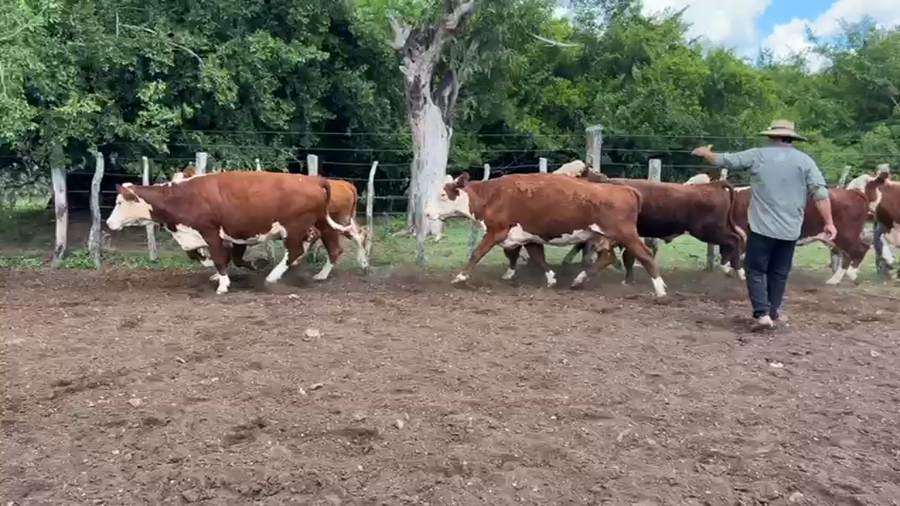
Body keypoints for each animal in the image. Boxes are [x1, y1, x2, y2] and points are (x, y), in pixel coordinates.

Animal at [106, 171, 352, 294]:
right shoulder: (218, 234)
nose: (108, 223)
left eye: (119, 202)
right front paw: (222, 272)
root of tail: (315, 180)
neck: (183, 197)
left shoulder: (211, 232)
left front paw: (223, 284)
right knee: (324, 246)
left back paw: (273, 277)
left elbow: (218, 257)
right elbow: (206, 256)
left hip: (294, 228)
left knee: (296, 251)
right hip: (318, 224)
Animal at [424, 172, 668, 297]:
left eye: (443, 195)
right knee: (607, 257)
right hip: (603, 236)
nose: (426, 213)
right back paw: (578, 280)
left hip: (625, 234)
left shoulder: (496, 231)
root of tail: (625, 189)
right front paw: (551, 279)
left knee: (645, 256)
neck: (492, 195)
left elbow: (476, 253)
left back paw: (660, 290)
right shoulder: (529, 236)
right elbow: (538, 258)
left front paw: (460, 277)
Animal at [561, 176, 746, 283]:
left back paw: (735, 270)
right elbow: (628, 256)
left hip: (708, 230)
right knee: (732, 241)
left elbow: (628, 256)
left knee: (734, 240)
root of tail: (713, 185)